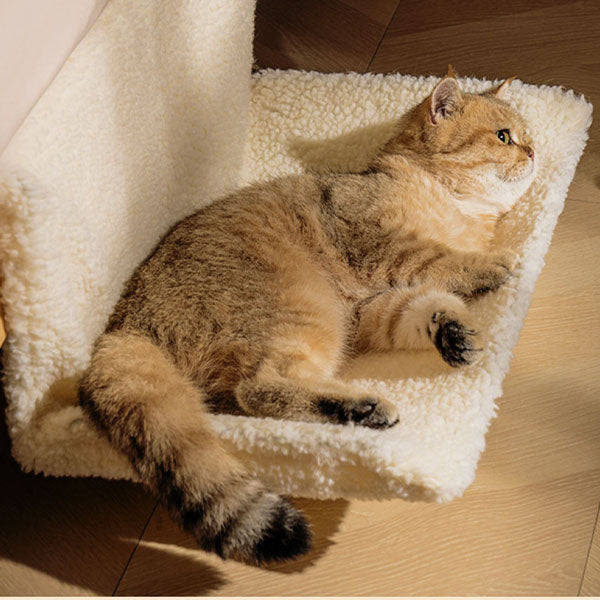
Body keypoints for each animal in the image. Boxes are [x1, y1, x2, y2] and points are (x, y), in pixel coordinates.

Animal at [78, 70, 536, 564]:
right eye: (504, 136)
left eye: (526, 136)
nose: (534, 151)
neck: (454, 206)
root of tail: (125, 326)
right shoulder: (381, 247)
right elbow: (442, 260)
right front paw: (490, 265)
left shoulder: (371, 312)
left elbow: (422, 308)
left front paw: (452, 332)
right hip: (302, 314)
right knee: (260, 388)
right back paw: (361, 406)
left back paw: (358, 411)